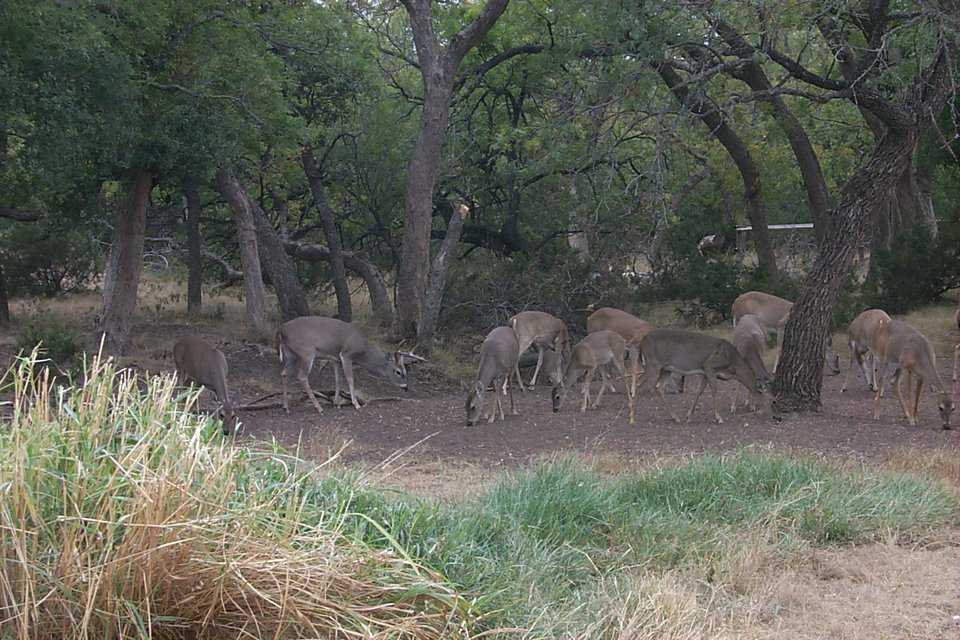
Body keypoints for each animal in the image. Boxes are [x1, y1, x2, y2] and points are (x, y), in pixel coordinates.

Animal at [280, 318, 426, 418]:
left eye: (405, 371)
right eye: (398, 372)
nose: (406, 387)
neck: (363, 351)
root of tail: (281, 330)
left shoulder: (335, 359)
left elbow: (338, 380)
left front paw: (337, 404)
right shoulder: (346, 355)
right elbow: (350, 379)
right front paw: (356, 404)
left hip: (291, 354)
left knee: (284, 373)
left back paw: (286, 407)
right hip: (306, 352)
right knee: (302, 376)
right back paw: (318, 407)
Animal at [628, 330, 776, 424]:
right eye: (772, 401)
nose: (776, 417)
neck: (733, 365)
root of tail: (642, 342)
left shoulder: (704, 372)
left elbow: (699, 391)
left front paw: (689, 416)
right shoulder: (709, 365)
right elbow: (714, 390)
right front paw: (718, 418)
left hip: (666, 368)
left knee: (659, 387)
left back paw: (676, 418)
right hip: (653, 364)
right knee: (639, 385)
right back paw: (632, 418)